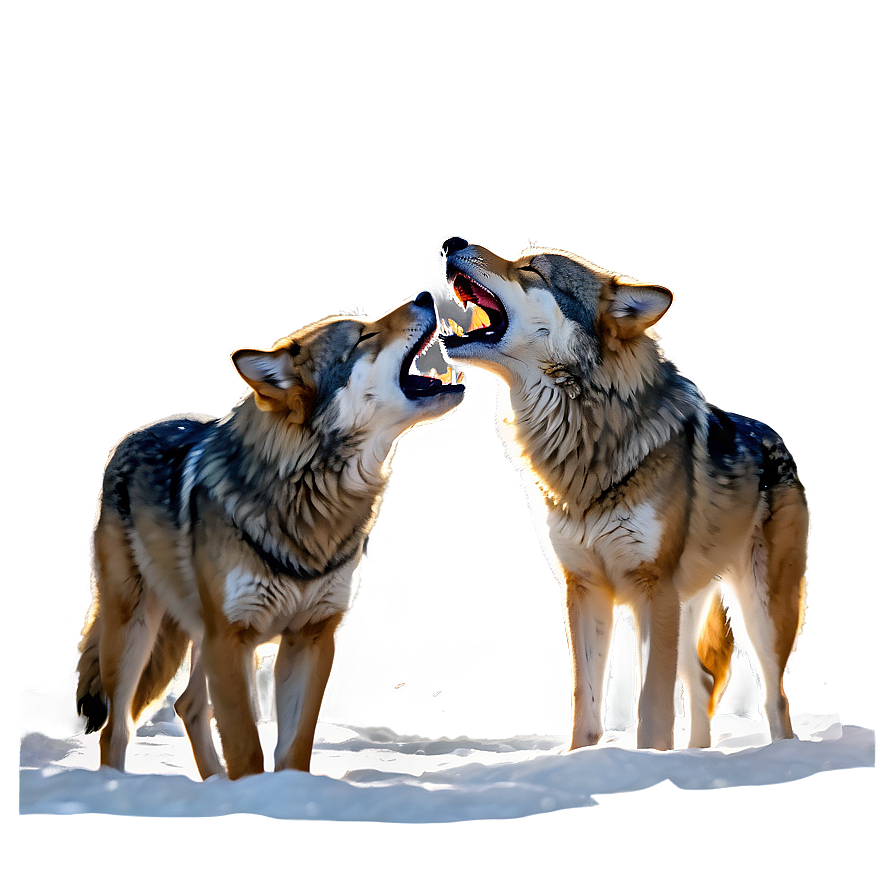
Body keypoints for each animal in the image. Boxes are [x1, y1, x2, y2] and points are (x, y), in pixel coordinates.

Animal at [76, 292, 464, 778]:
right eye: (364, 336)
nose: (425, 296)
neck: (309, 494)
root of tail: (129, 439)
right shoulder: (233, 638)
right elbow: (247, 750)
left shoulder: (311, 638)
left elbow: (293, 750)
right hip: (136, 630)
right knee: (117, 727)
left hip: (200, 639)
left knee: (187, 706)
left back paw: (215, 785)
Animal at [438, 236, 808, 751]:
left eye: (531, 269)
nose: (452, 242)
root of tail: (776, 437)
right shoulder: (585, 589)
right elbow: (585, 702)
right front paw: (583, 760)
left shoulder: (651, 588)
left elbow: (650, 708)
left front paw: (648, 760)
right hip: (686, 604)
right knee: (702, 681)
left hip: (759, 611)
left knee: (775, 697)